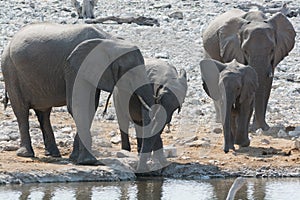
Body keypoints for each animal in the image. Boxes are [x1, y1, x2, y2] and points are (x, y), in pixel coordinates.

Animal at [1, 22, 157, 166]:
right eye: (132, 74)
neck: (110, 41)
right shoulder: (75, 68)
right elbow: (77, 106)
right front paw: (89, 162)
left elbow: (91, 107)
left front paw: (75, 159)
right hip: (9, 70)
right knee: (21, 110)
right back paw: (26, 154)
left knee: (44, 112)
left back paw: (53, 154)